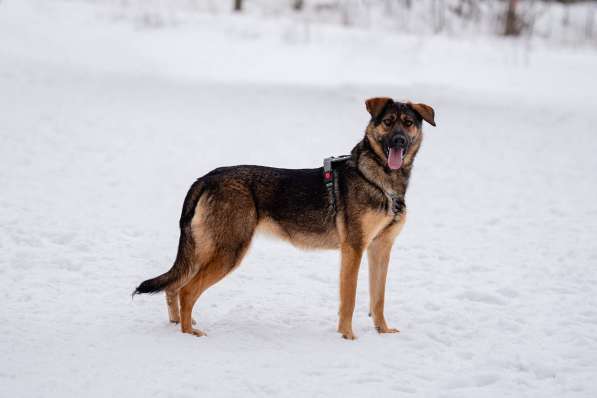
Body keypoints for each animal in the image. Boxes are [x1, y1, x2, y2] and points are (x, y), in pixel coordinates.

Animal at [134, 97, 434, 338]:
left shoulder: (380, 249)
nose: (399, 141)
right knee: (186, 290)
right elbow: (348, 299)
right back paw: (189, 334)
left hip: (206, 248)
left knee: (174, 287)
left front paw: (383, 331)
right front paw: (347, 336)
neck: (380, 179)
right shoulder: (354, 248)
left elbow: (378, 298)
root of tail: (206, 178)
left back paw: (178, 323)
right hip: (228, 251)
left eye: (408, 123)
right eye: (388, 122)